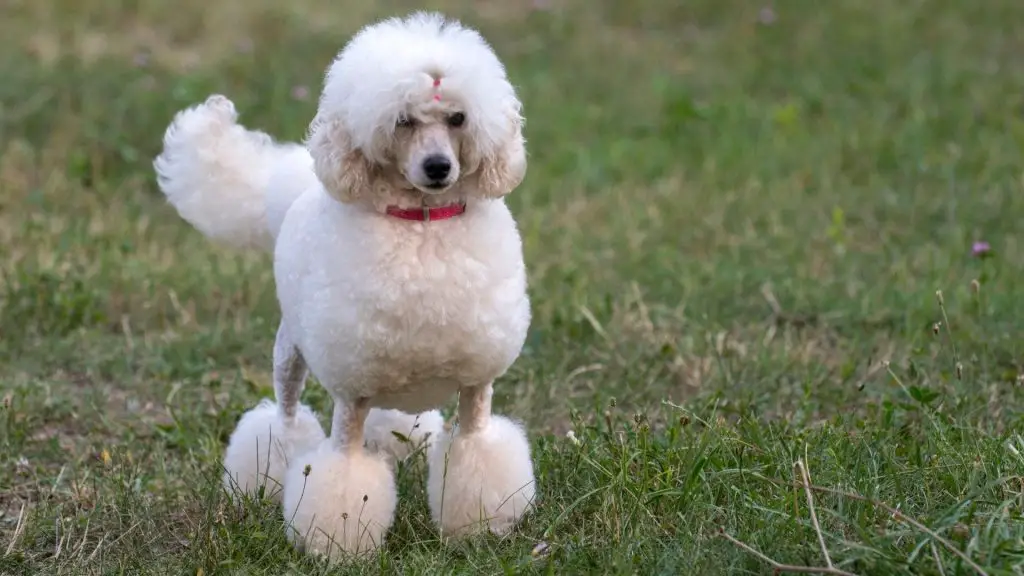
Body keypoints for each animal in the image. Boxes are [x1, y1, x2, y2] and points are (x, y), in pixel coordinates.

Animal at [154, 12, 536, 557]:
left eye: (459, 119)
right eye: (402, 121)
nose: (438, 168)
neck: (422, 224)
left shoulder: (475, 385)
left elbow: (475, 448)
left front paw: (483, 529)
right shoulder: (353, 394)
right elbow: (343, 473)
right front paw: (336, 546)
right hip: (291, 353)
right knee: (284, 419)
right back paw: (261, 478)